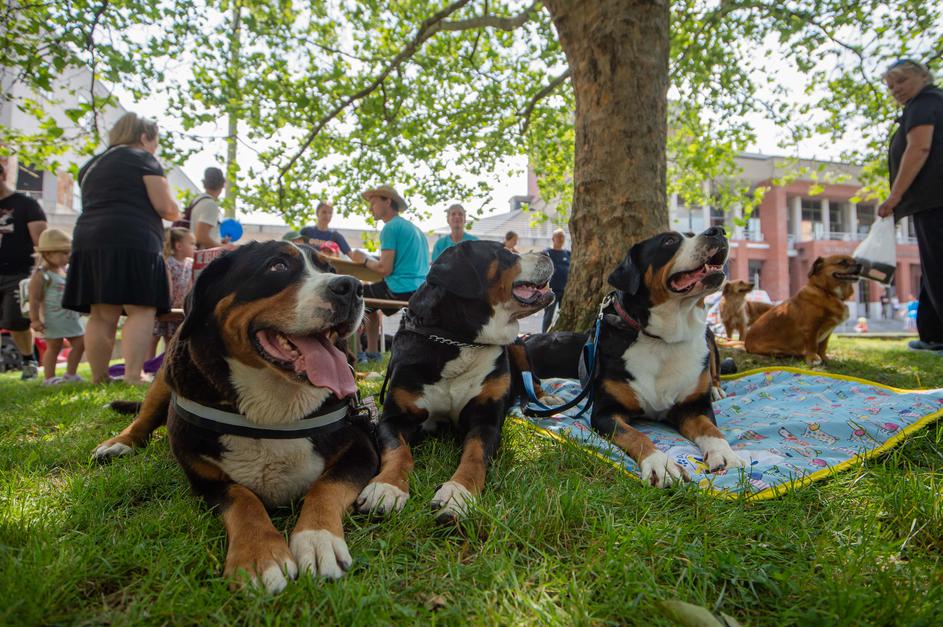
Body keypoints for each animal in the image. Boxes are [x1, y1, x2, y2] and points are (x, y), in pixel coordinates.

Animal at [92, 241, 377, 593]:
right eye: (278, 266)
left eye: (330, 269)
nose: (352, 287)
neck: (272, 410)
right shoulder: (205, 479)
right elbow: (243, 499)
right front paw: (259, 555)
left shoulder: (360, 448)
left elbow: (326, 487)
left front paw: (317, 539)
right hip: (164, 377)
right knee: (143, 419)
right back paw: (118, 443)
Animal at [355, 240, 554, 522]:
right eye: (504, 253)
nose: (547, 253)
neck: (460, 341)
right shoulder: (393, 419)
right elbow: (398, 452)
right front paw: (386, 487)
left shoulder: (486, 421)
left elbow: (474, 456)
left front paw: (458, 494)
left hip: (518, 346)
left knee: (532, 379)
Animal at [512, 228, 745, 487]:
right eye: (669, 241)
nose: (717, 230)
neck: (662, 339)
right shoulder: (606, 412)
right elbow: (636, 435)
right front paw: (660, 463)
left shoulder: (694, 407)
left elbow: (711, 430)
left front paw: (724, 453)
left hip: (710, 337)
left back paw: (716, 389)